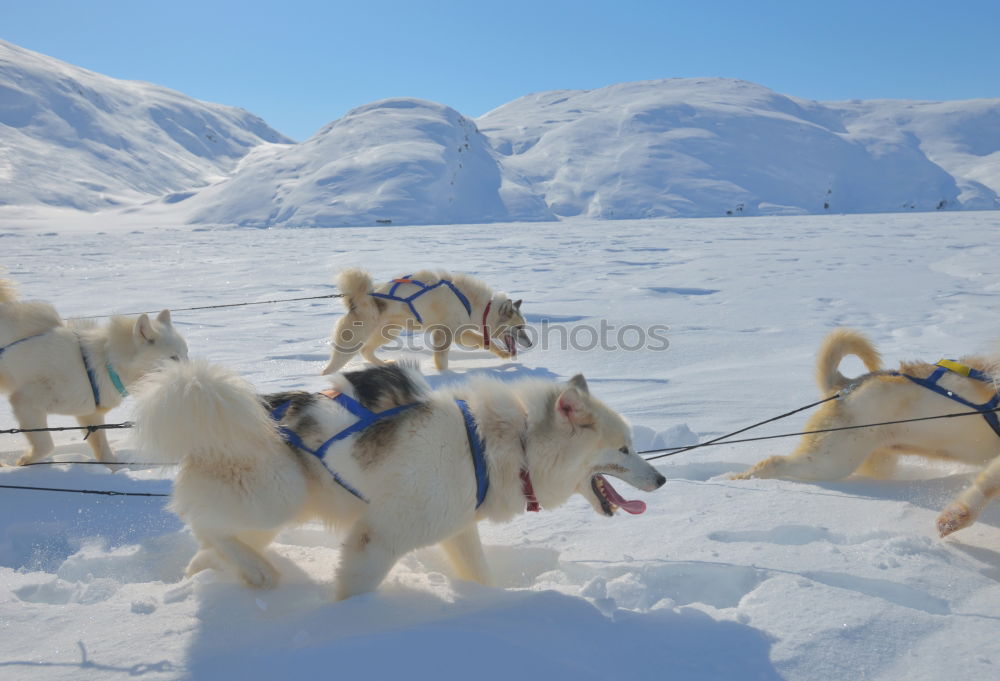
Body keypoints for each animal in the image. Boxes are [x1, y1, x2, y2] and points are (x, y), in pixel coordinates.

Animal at [0, 276, 188, 462]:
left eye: (186, 354)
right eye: (174, 357)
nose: (191, 377)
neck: (103, 366)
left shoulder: (90, 416)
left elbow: (104, 453)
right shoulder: (25, 401)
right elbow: (46, 446)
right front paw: (24, 461)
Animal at [131, 358, 664, 596]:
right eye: (623, 448)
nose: (660, 480)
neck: (507, 443)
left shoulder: (457, 529)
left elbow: (479, 573)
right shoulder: (379, 537)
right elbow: (356, 584)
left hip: (272, 513)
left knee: (211, 539)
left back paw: (219, 570)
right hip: (277, 499)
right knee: (203, 522)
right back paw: (255, 572)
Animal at [324, 266, 536, 374]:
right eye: (519, 327)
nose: (531, 343)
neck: (478, 306)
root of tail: (361, 298)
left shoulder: (458, 333)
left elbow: (485, 343)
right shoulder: (447, 333)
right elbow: (445, 359)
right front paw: (445, 375)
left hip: (388, 332)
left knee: (366, 351)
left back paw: (385, 364)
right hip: (354, 339)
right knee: (341, 359)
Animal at [732, 326, 1000, 536]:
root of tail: (845, 385)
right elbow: (983, 490)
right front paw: (954, 519)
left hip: (873, 461)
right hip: (829, 461)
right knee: (771, 463)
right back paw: (735, 479)